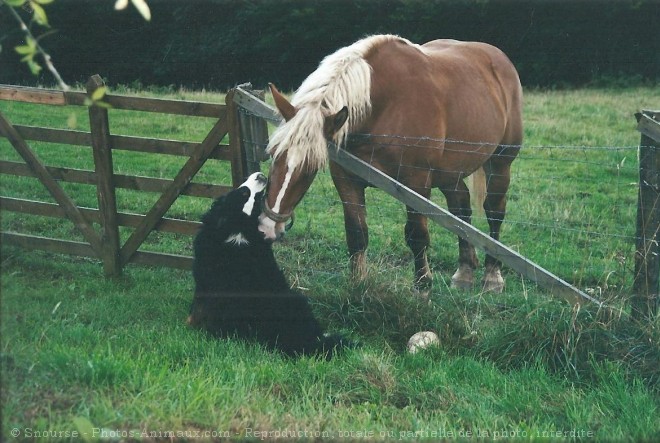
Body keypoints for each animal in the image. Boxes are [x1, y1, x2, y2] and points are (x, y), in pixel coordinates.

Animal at [258, 34, 520, 294]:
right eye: (273, 153)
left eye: (310, 167)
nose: (269, 227)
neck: (383, 106)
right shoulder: (346, 178)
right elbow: (356, 232)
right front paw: (358, 284)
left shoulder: (416, 184)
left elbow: (416, 235)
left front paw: (423, 289)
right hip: (449, 172)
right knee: (461, 208)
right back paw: (464, 272)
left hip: (500, 164)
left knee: (494, 211)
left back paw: (492, 276)